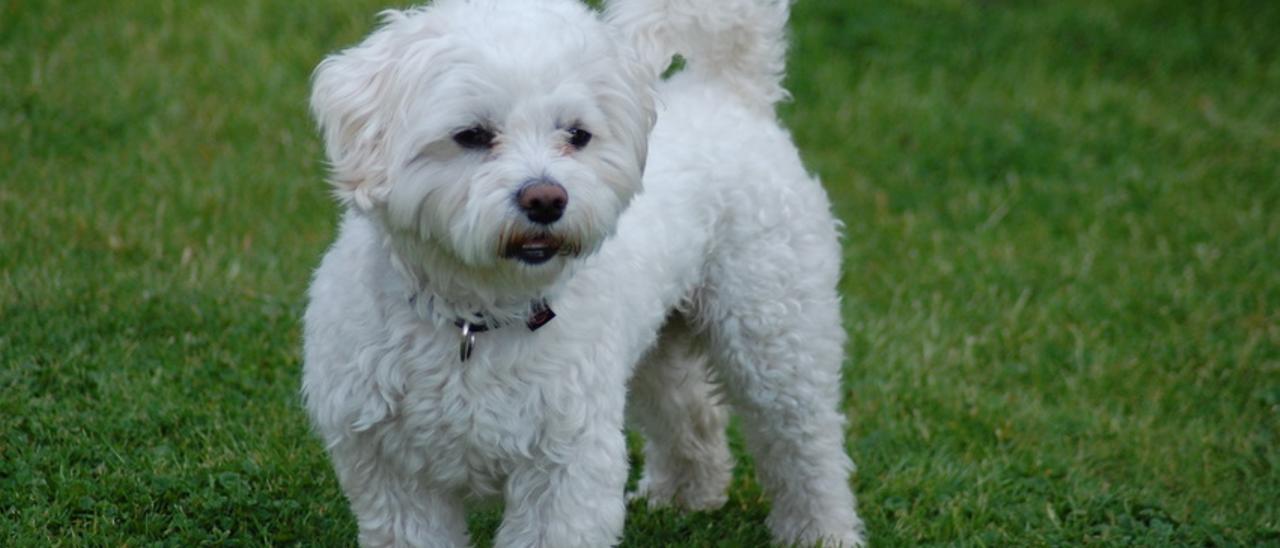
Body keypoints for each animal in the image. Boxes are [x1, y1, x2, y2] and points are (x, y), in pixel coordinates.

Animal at [300, 0, 865, 542]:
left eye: (577, 135)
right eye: (472, 135)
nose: (547, 199)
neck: (477, 316)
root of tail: (727, 91)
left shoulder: (566, 468)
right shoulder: (394, 476)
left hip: (776, 336)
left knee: (805, 446)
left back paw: (822, 532)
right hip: (656, 345)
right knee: (692, 410)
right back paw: (684, 497)